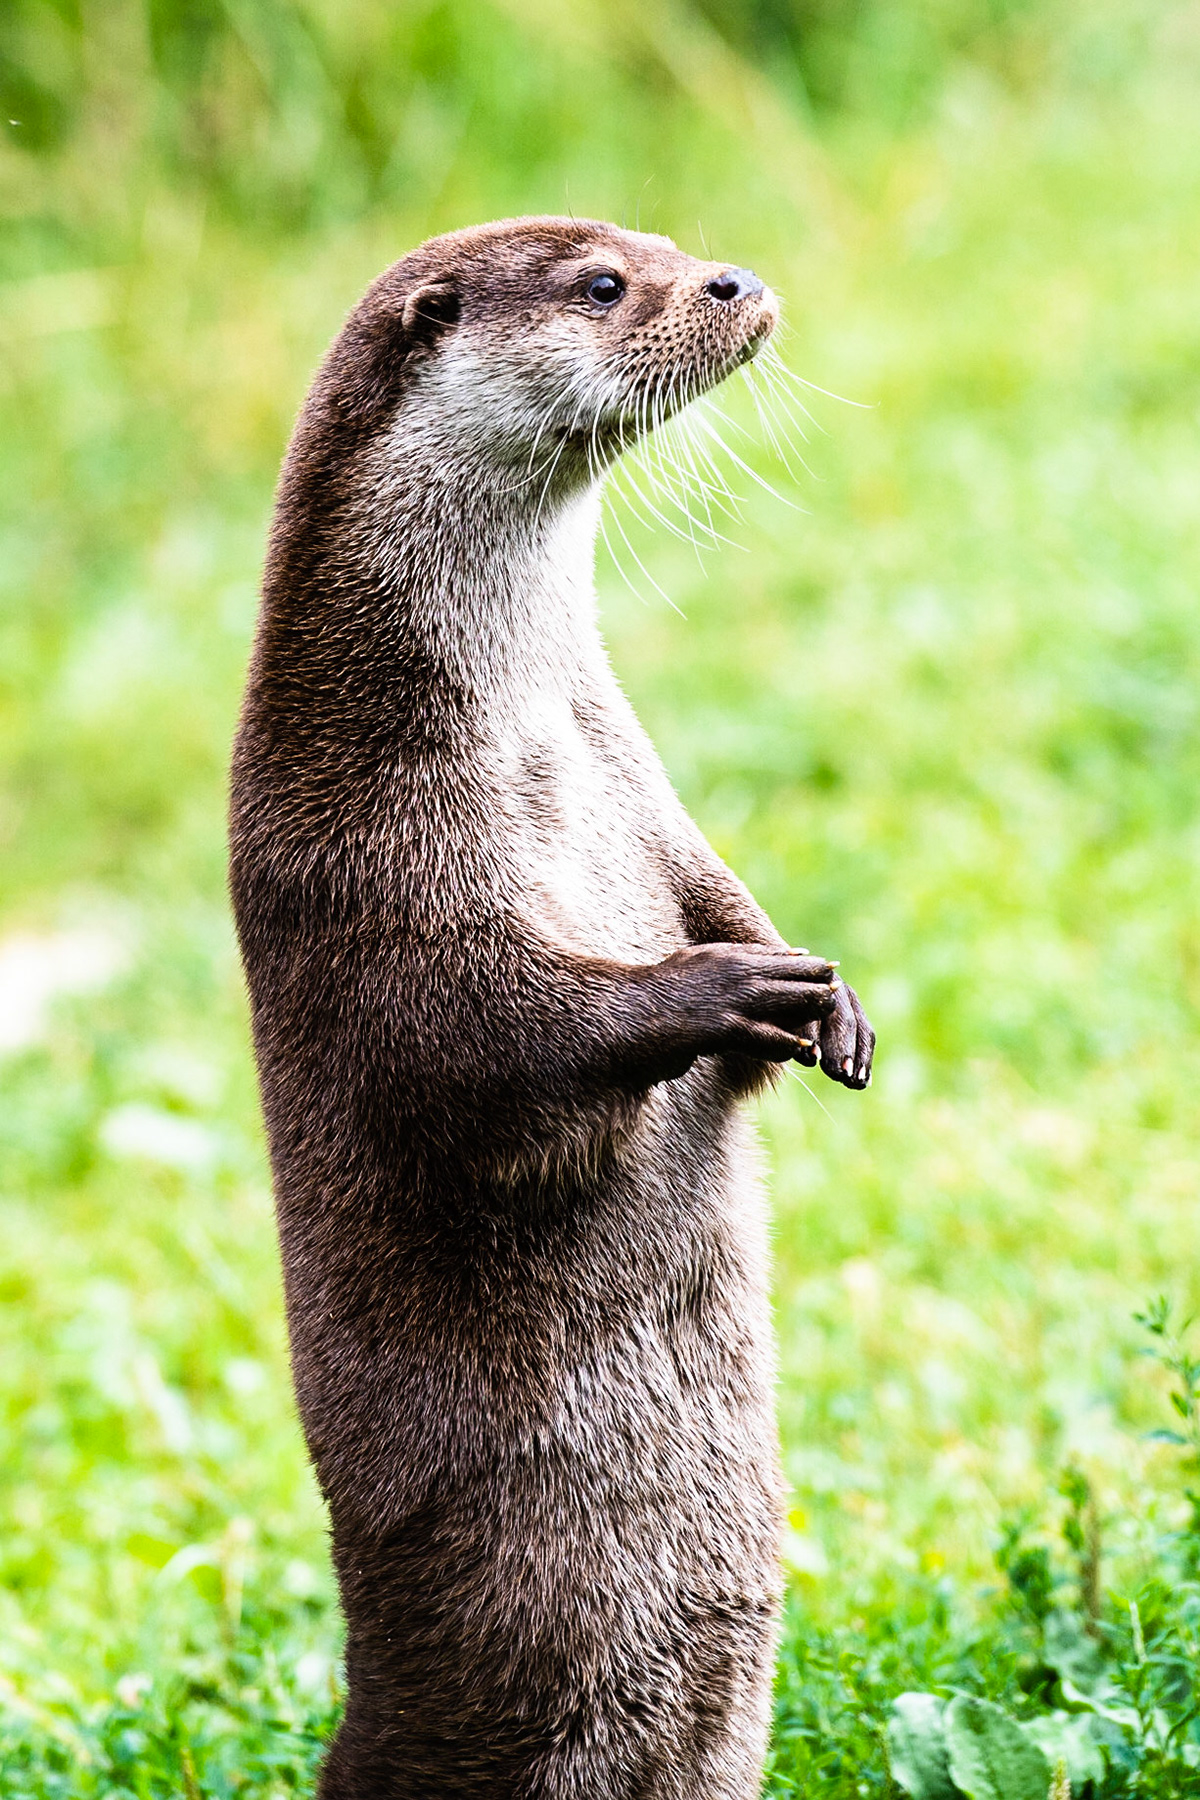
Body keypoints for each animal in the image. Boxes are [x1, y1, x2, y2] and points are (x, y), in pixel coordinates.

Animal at [229, 217, 873, 1800]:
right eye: (602, 284)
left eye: (669, 242)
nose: (732, 281)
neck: (523, 736)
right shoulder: (364, 870)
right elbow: (483, 1056)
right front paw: (722, 991)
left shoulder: (645, 794)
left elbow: (714, 886)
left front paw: (821, 993)